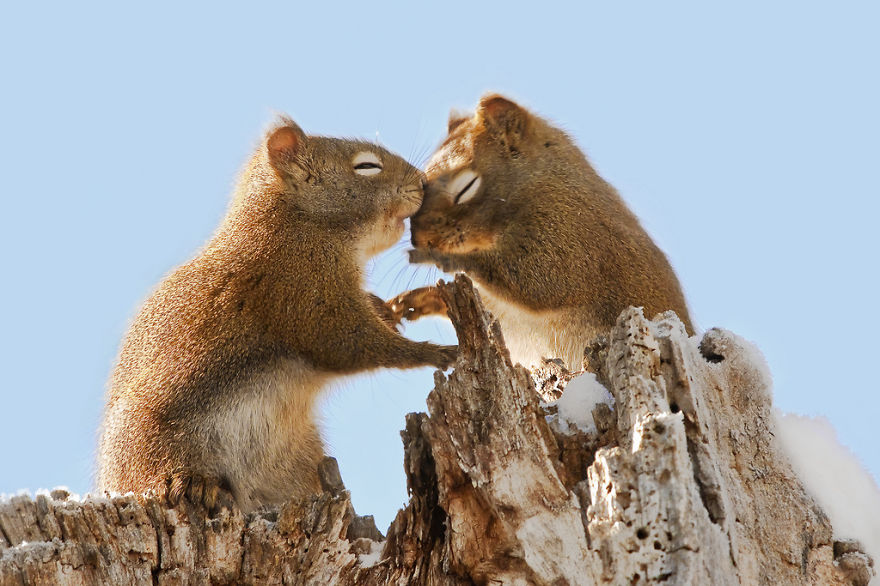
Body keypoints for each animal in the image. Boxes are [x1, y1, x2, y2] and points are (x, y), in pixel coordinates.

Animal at [98, 117, 457, 511]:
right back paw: (194, 484)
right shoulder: (303, 291)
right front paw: (433, 352)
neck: (298, 223)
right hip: (153, 442)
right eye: (366, 166)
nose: (422, 182)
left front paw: (384, 307)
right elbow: (351, 342)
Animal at [390, 94, 692, 370]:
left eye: (465, 187)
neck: (538, 182)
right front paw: (421, 299)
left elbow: (539, 281)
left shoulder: (572, 232)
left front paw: (441, 258)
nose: (419, 239)